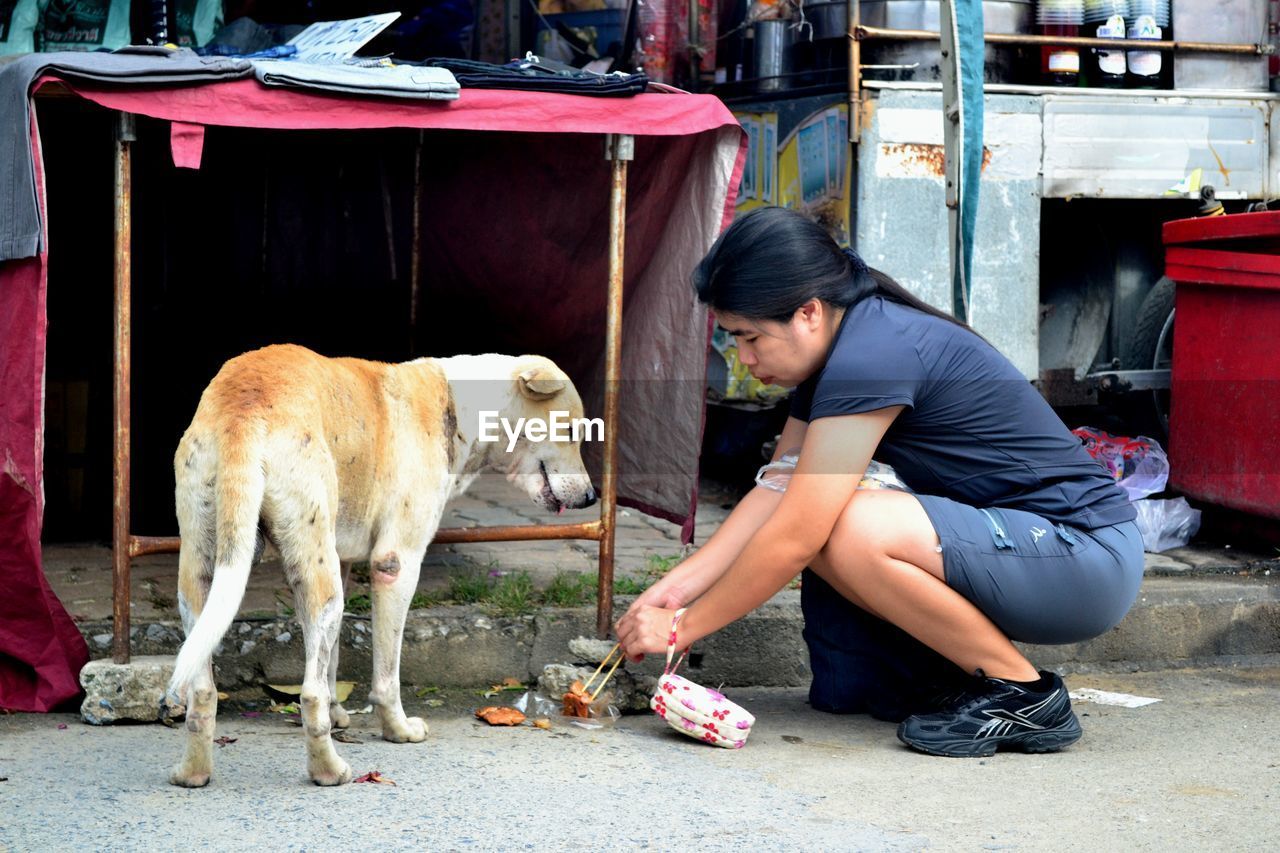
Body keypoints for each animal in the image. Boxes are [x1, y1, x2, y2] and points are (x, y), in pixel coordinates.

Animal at [163, 343, 593, 778]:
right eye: (572, 431)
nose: (592, 498)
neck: (462, 405)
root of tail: (244, 406)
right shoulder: (396, 564)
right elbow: (387, 675)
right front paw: (397, 729)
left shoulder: (341, 562)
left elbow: (333, 659)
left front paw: (339, 713)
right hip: (322, 591)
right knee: (309, 693)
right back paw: (328, 771)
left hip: (209, 579)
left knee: (204, 687)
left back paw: (193, 773)